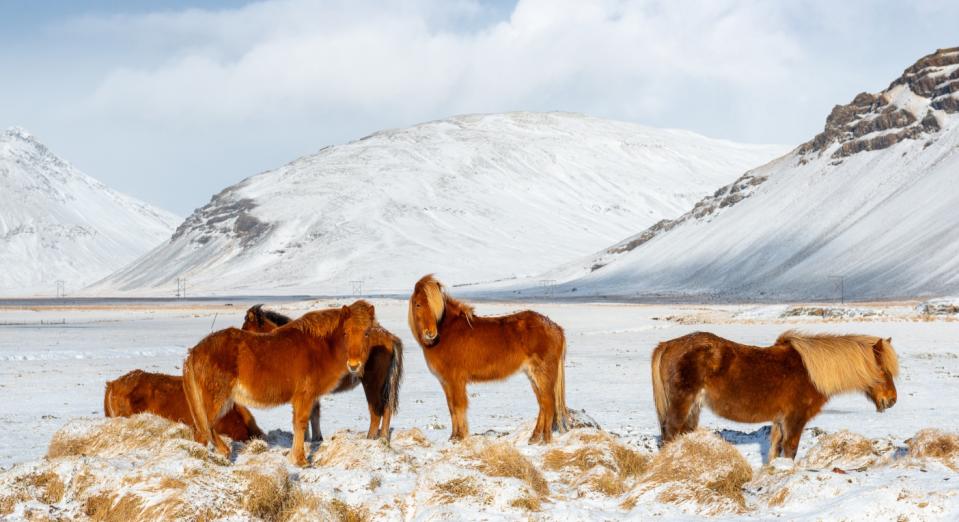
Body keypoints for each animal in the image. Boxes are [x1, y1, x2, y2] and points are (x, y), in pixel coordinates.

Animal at [184, 296, 378, 464]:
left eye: (367, 333)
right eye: (345, 333)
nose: (354, 365)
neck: (320, 347)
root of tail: (195, 351)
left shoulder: (308, 398)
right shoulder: (305, 396)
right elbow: (301, 423)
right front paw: (300, 461)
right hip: (217, 400)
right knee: (204, 428)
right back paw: (222, 453)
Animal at [244, 302, 404, 440]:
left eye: (246, 328)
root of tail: (390, 338)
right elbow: (313, 413)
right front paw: (315, 438)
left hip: (372, 384)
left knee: (376, 412)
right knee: (386, 409)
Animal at [406, 274, 568, 440]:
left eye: (436, 306)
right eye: (418, 304)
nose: (430, 333)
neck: (448, 332)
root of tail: (556, 327)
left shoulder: (455, 380)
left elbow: (458, 407)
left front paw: (459, 437)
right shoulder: (446, 382)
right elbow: (451, 408)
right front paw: (453, 436)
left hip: (542, 374)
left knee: (549, 403)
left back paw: (545, 440)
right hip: (532, 375)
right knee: (543, 404)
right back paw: (534, 438)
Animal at [652, 330, 900, 460]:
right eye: (883, 370)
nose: (892, 400)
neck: (810, 372)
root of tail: (667, 345)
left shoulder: (780, 421)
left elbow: (775, 451)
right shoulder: (795, 419)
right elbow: (790, 450)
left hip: (693, 409)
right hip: (682, 405)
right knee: (670, 434)